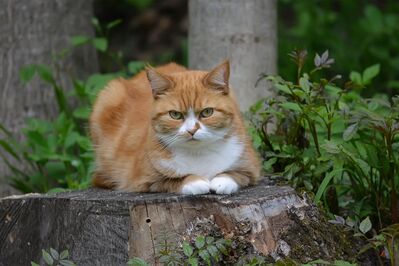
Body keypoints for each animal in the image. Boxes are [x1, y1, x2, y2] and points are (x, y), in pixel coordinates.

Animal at [89, 60, 260, 195]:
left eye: (207, 112)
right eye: (175, 115)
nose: (192, 130)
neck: (198, 153)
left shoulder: (251, 168)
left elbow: (236, 174)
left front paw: (222, 181)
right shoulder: (143, 181)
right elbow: (172, 180)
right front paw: (194, 181)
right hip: (108, 95)